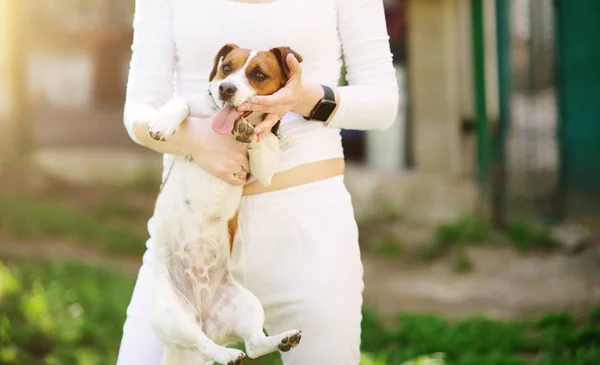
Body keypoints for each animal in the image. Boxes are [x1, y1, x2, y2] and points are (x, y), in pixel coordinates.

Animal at [146, 43, 304, 364]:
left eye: (259, 74)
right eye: (226, 68)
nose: (226, 88)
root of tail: (204, 319)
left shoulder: (265, 168)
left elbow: (262, 141)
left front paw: (250, 134)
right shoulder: (191, 105)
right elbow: (179, 102)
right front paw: (163, 124)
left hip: (246, 304)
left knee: (253, 344)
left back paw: (282, 339)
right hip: (172, 315)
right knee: (203, 343)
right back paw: (226, 353)